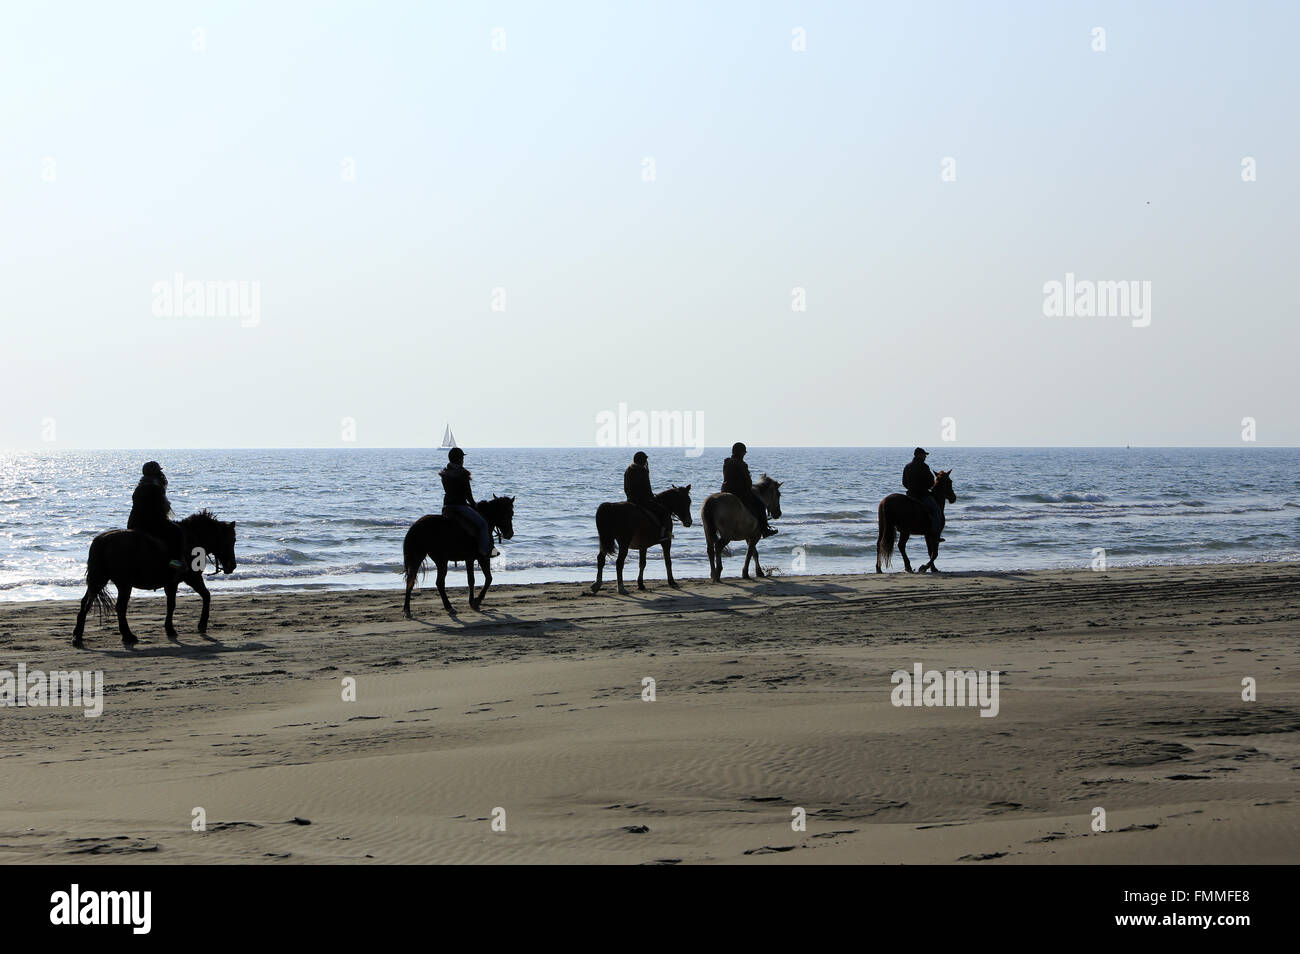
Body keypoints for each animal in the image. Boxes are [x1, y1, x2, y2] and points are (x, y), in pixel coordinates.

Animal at [71, 509, 239, 649]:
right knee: (120, 607)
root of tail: (102, 541)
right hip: (123, 584)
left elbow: (173, 603)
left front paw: (171, 628)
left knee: (86, 602)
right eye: (232, 540)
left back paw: (77, 636)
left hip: (99, 580)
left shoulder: (172, 583)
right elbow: (202, 597)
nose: (232, 566)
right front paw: (199, 625)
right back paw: (128, 636)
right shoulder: (190, 578)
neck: (193, 538)